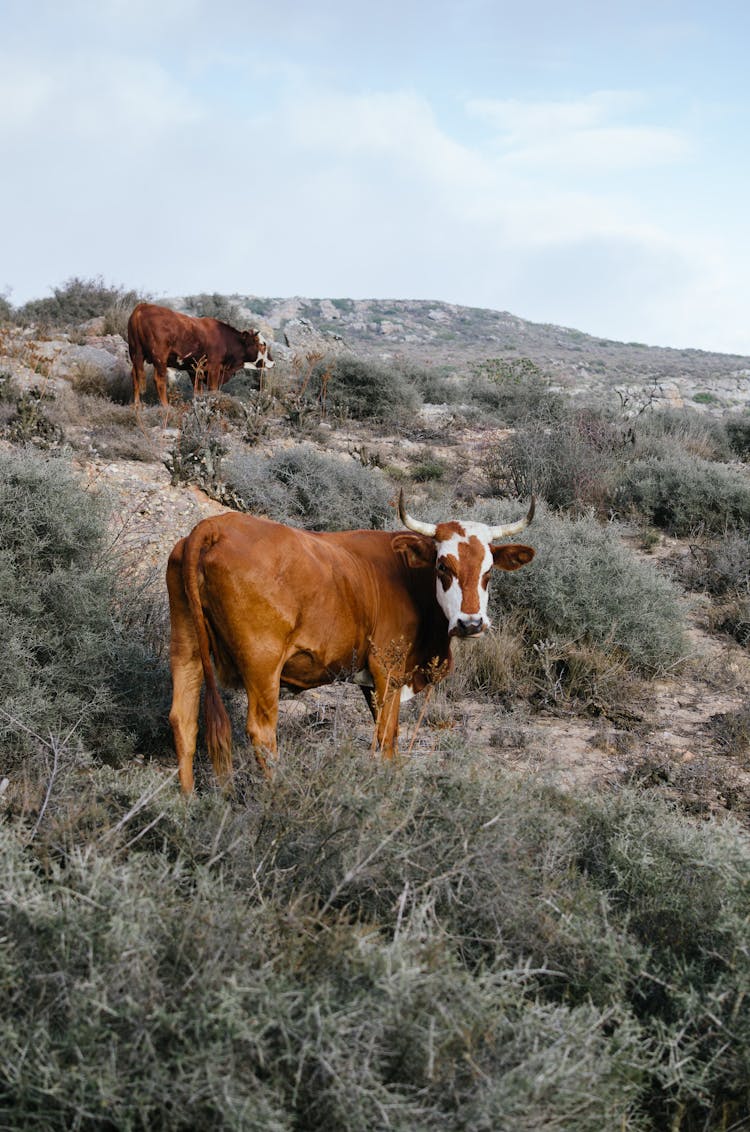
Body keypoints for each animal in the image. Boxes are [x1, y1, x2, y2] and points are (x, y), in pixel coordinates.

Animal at [127, 301, 274, 407]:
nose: (272, 361)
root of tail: (142, 307)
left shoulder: (194, 370)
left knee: (135, 376)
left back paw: (137, 405)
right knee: (159, 380)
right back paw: (166, 406)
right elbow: (212, 390)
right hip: (159, 358)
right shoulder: (214, 368)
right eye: (262, 344)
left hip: (136, 355)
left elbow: (198, 392)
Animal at [167, 491, 536, 792]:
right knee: (261, 732)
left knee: (183, 721)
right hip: (262, 665)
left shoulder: (370, 682)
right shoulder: (388, 671)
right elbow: (387, 736)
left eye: (489, 571)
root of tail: (215, 527)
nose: (470, 623)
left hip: (186, 650)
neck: (406, 574)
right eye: (443, 566)